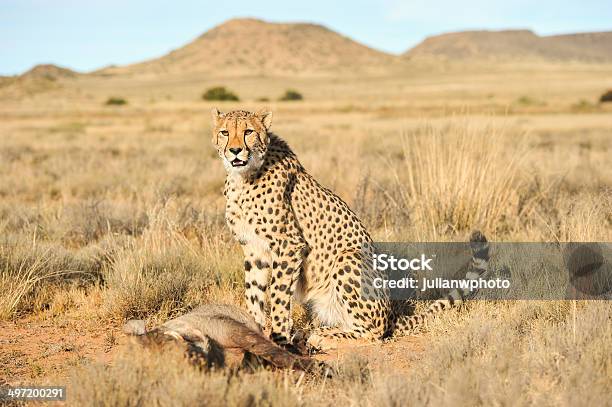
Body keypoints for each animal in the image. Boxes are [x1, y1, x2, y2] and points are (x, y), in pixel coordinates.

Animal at [213, 107, 490, 350]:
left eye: (248, 132)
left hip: (347, 259)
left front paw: (280, 338)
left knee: (373, 333)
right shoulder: (254, 248)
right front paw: (255, 331)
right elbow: (254, 294)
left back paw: (322, 337)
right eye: (225, 132)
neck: (244, 176)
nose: (235, 151)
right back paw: (315, 332)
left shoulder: (289, 245)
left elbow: (278, 295)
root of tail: (392, 315)